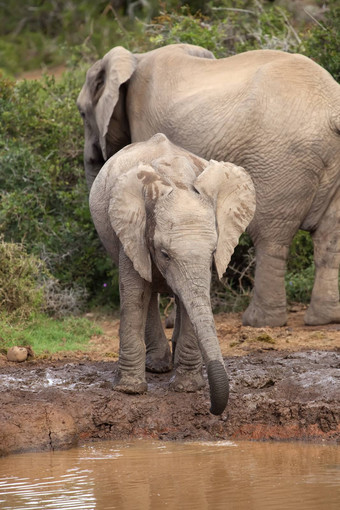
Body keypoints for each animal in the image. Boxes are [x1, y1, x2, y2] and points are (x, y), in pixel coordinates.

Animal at [77, 42, 340, 326]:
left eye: (81, 112)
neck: (137, 56)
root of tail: (332, 109)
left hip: (280, 159)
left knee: (271, 236)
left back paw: (259, 321)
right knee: (329, 238)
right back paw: (323, 319)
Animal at [90, 133, 255, 416]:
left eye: (214, 251)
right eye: (164, 253)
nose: (213, 409)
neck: (176, 179)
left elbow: (192, 298)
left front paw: (187, 388)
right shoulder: (131, 230)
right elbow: (134, 293)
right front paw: (129, 391)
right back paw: (157, 366)